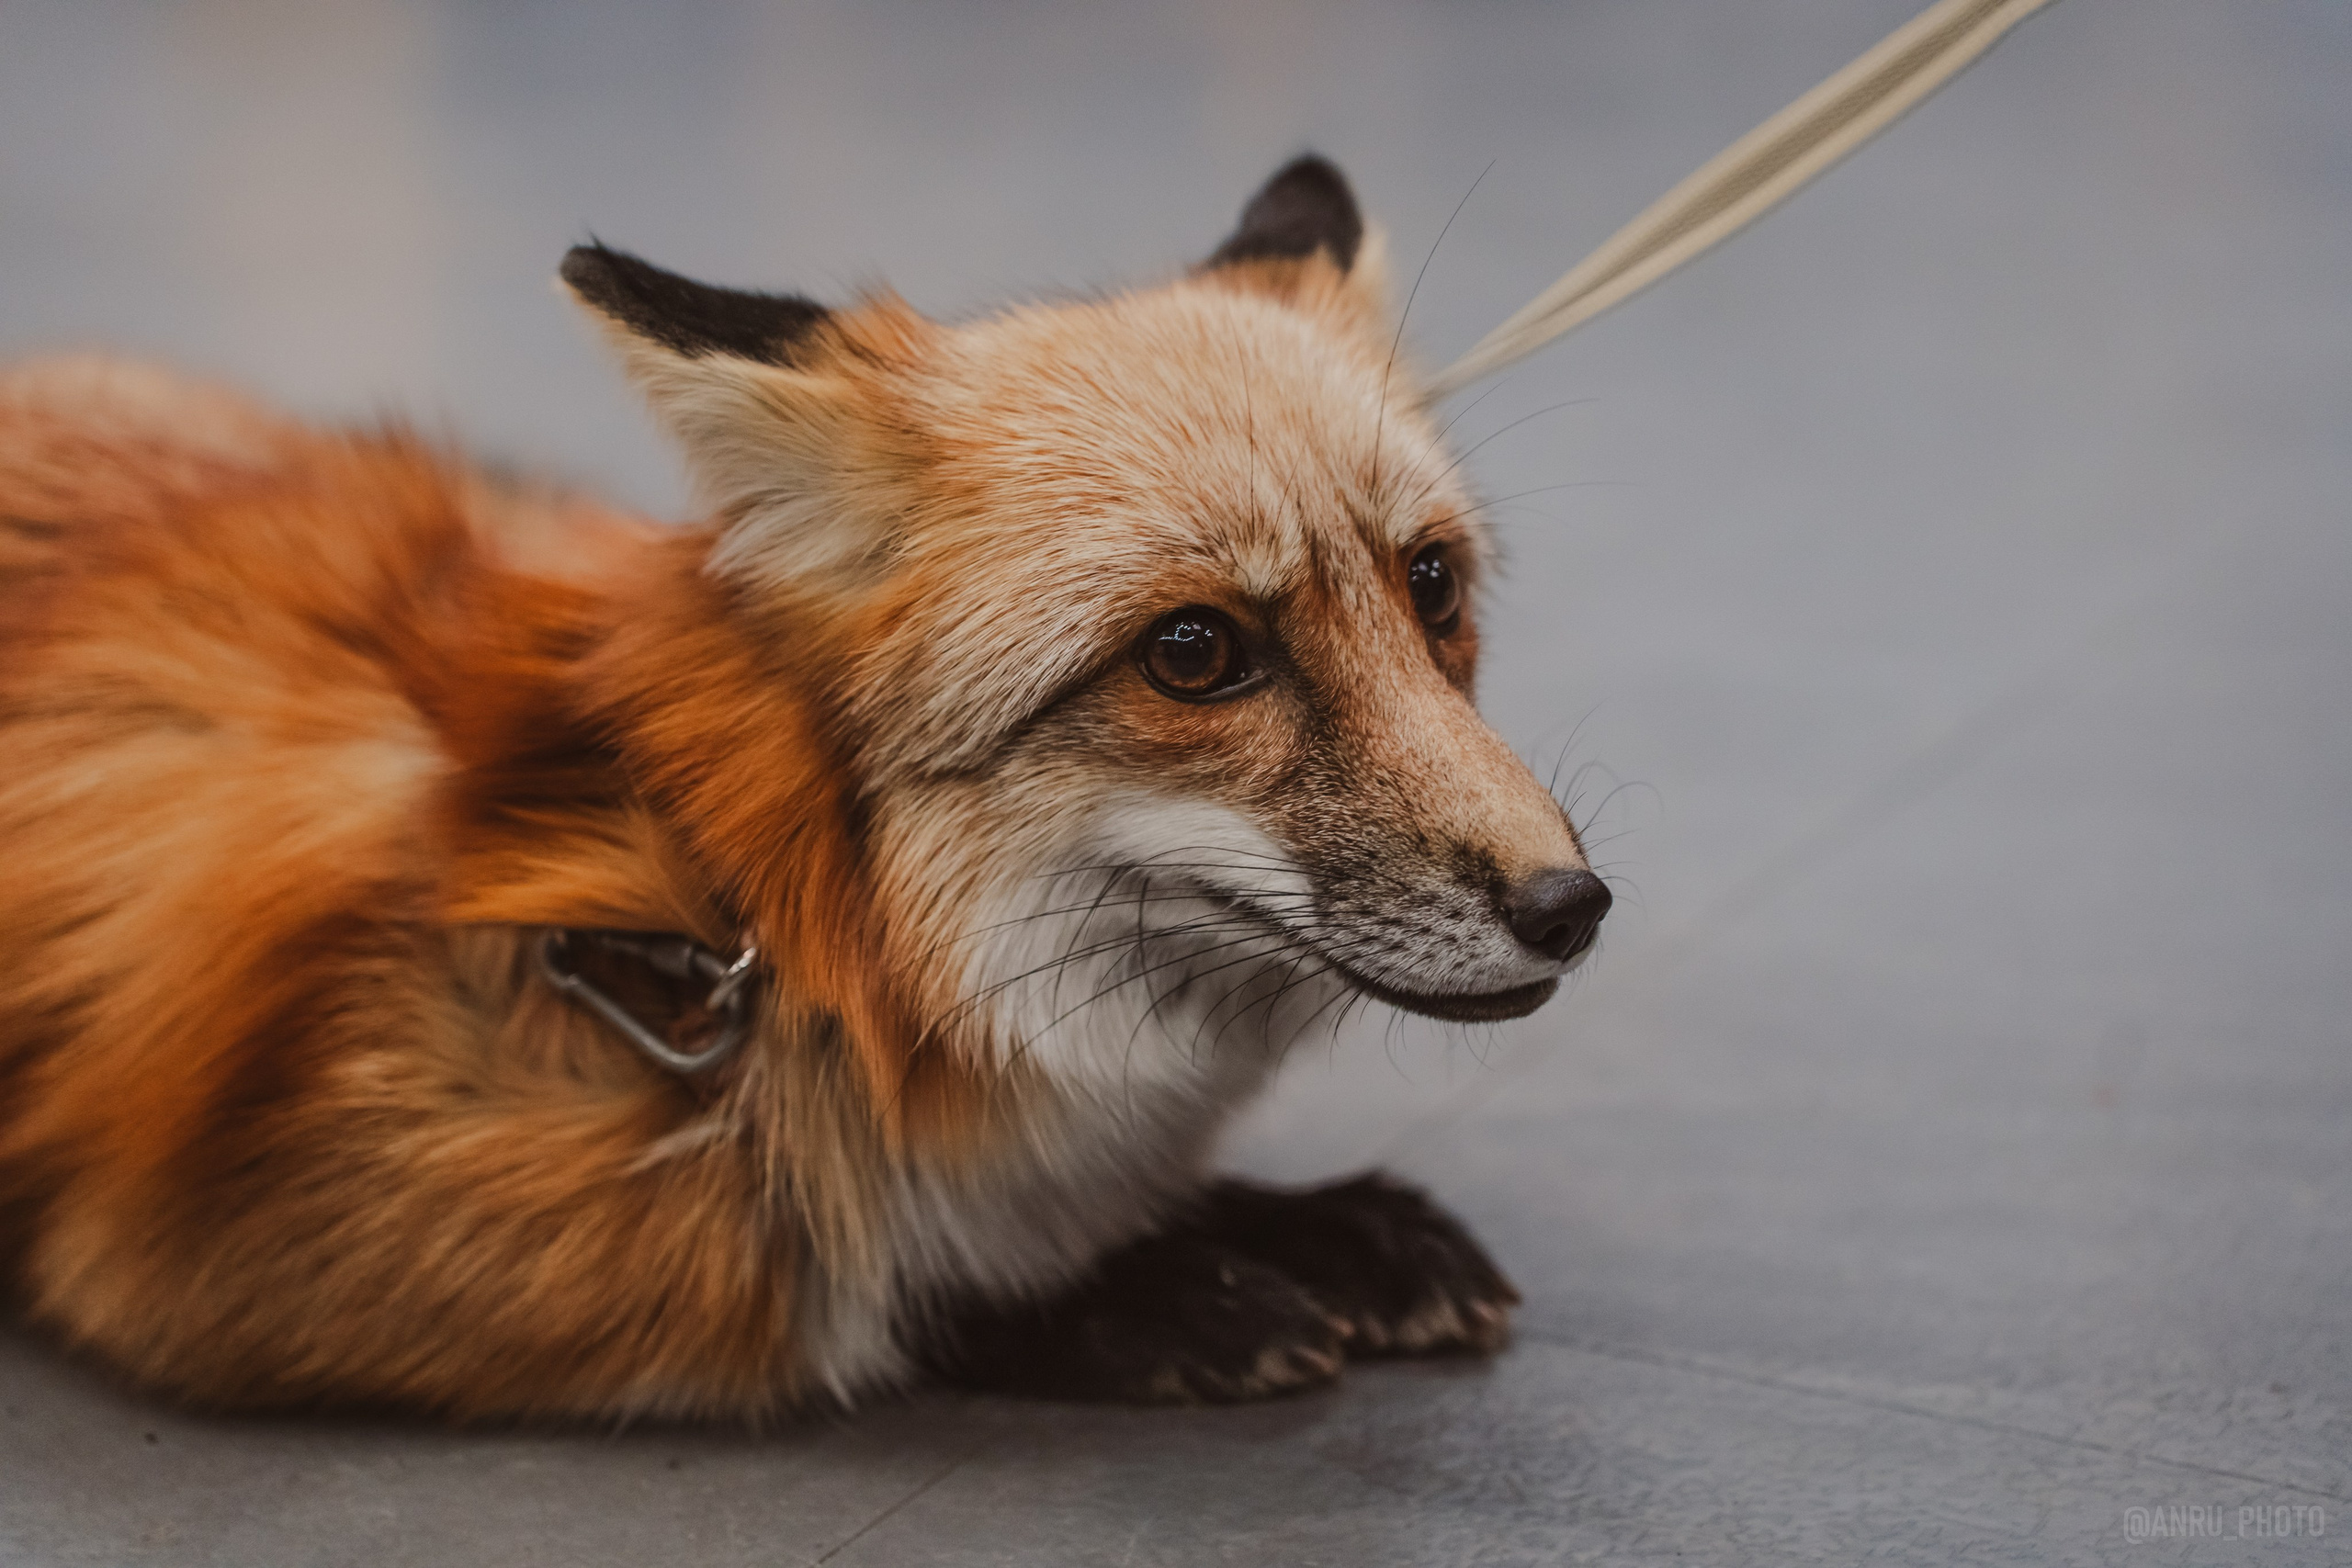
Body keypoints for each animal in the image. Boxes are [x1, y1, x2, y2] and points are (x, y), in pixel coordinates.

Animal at [0, 156, 1610, 1421]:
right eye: (1196, 650)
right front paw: (1137, 1282)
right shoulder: (238, 1247)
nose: (1572, 905)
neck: (742, 914)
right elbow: (859, 1274)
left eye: (1430, 584)